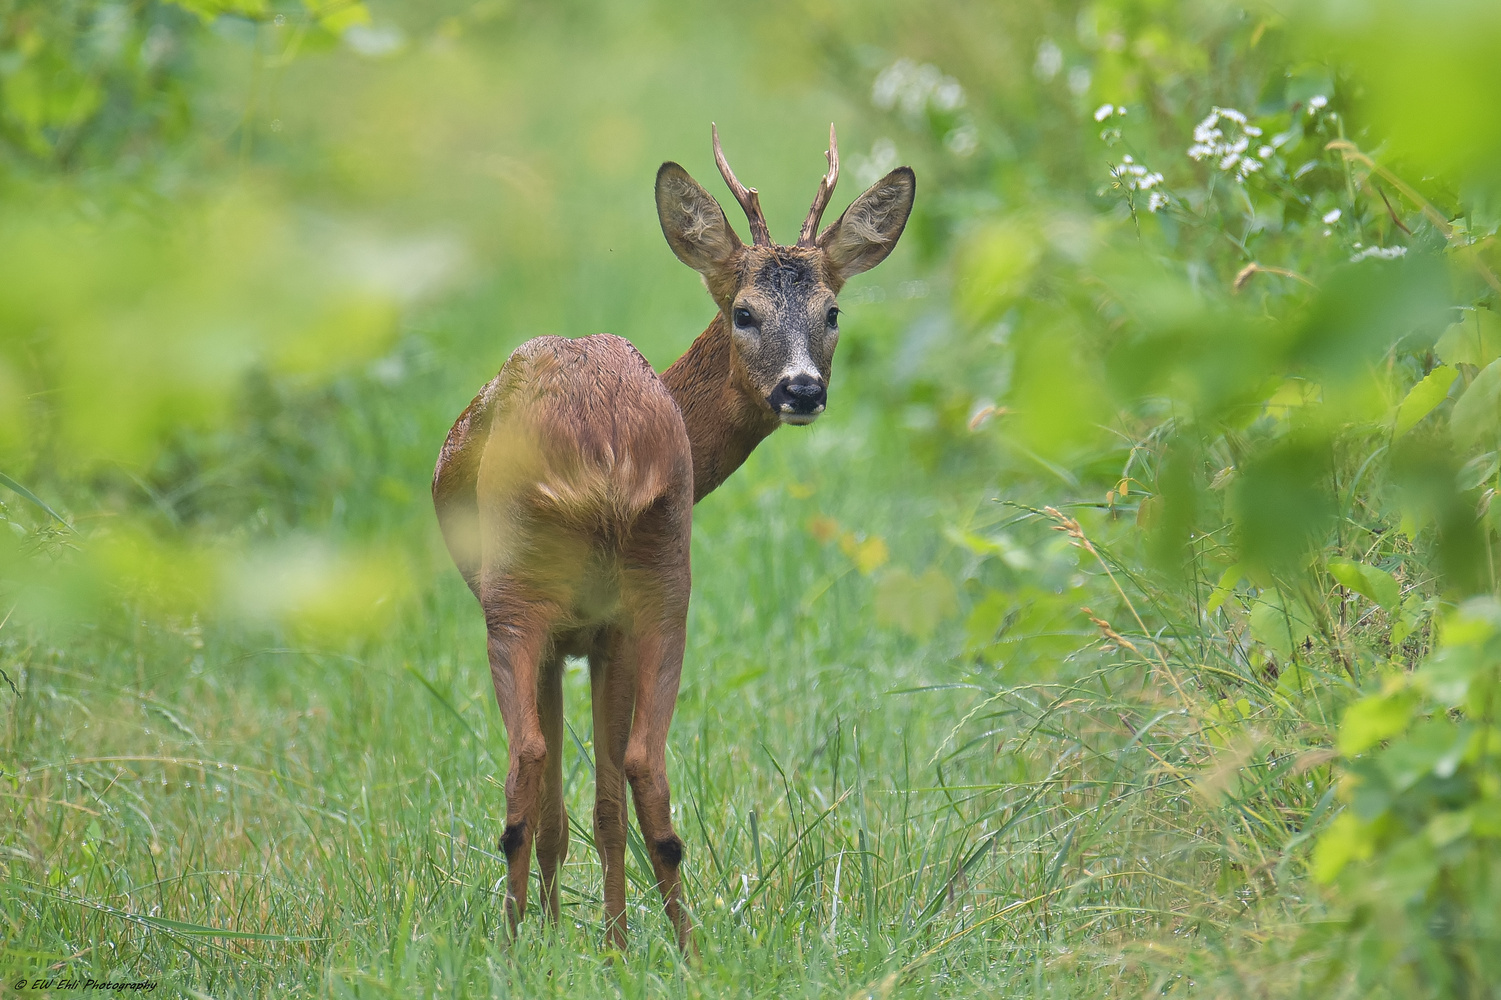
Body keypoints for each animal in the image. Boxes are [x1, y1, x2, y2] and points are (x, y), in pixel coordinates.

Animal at [429, 120, 906, 948]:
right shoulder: (594, 630)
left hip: (541, 590)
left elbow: (569, 804)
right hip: (649, 583)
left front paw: (566, 936)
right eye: (744, 312)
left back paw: (535, 945)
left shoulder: (579, 632)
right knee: (634, 765)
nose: (802, 389)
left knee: (542, 763)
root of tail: (602, 447)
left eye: (832, 312)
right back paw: (671, 948)